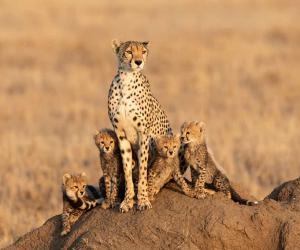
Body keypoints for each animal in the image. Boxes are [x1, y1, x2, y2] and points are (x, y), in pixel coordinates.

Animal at [108, 39, 171, 211]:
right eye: (129, 51)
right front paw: (128, 200)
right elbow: (127, 168)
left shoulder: (143, 134)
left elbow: (143, 169)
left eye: (143, 52)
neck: (126, 80)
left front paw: (142, 200)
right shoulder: (121, 134)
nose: (138, 62)